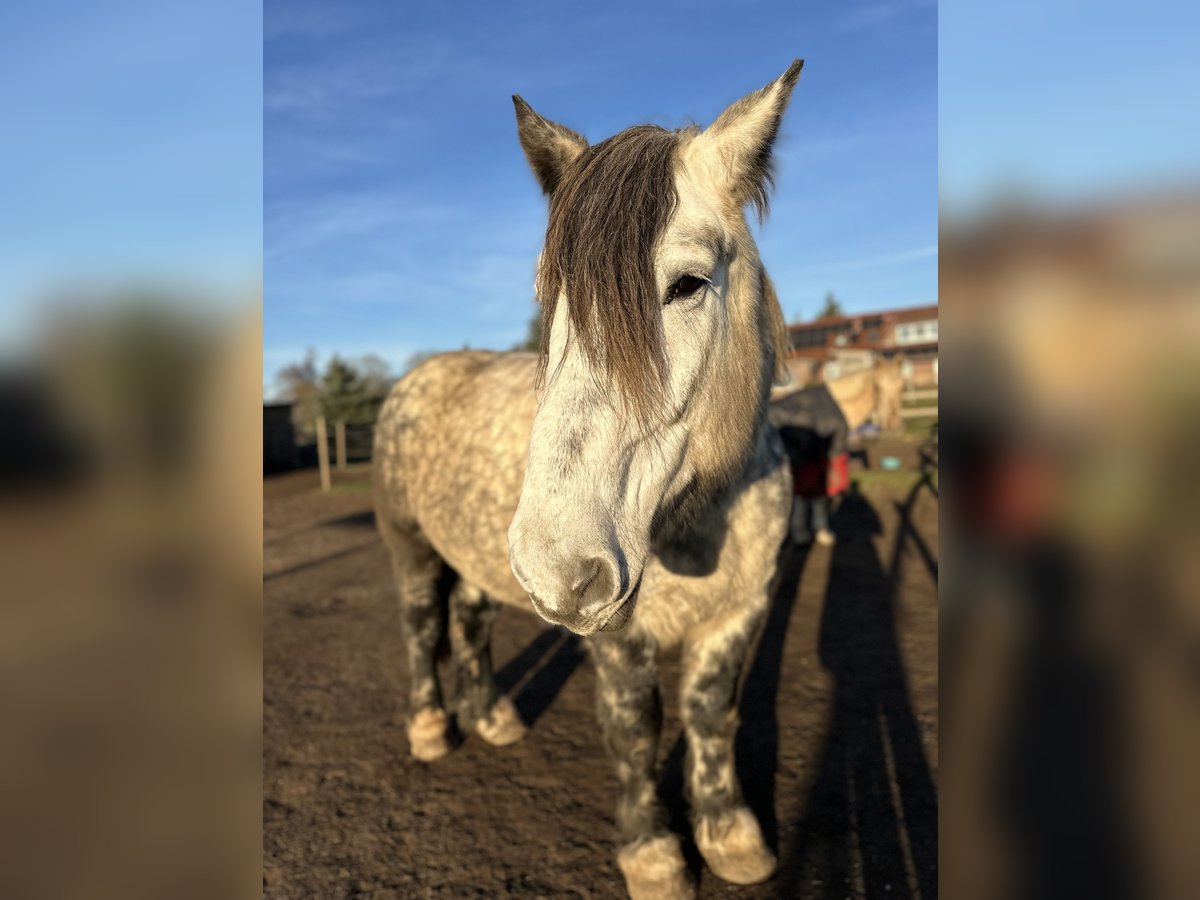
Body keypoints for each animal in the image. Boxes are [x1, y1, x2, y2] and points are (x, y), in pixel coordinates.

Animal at [373, 60, 803, 900]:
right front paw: (653, 854)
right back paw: (433, 727)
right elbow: (635, 727)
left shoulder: (740, 612)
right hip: (411, 548)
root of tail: (418, 379)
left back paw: (494, 717)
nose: (559, 564)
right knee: (421, 626)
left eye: (688, 284)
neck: (696, 524)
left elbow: (710, 713)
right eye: (558, 298)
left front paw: (730, 834)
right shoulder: (615, 631)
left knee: (470, 623)